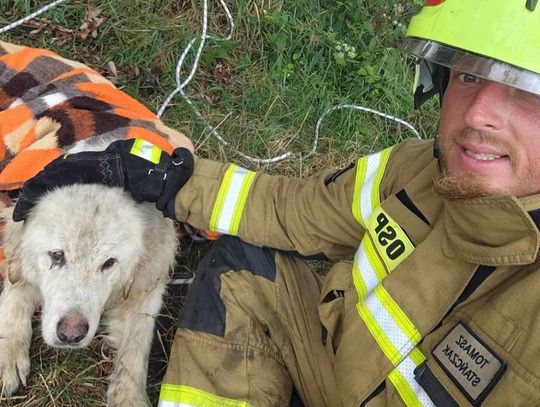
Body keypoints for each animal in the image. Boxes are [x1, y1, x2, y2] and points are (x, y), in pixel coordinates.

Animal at [0, 183, 177, 406]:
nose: (71, 335)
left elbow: (136, 342)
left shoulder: (148, 280)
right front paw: (8, 352)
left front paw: (128, 396)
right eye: (57, 255)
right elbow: (15, 295)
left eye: (109, 263)